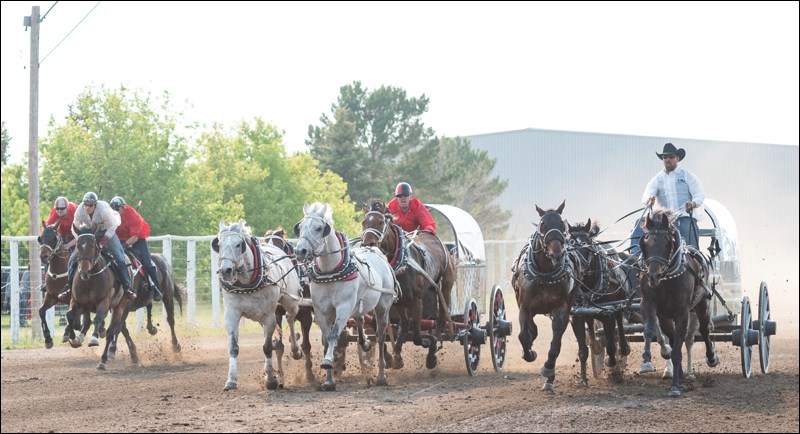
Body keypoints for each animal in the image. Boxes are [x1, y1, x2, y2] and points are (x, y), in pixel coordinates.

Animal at [211, 219, 304, 392]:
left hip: (291, 301)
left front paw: (271, 380)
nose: (226, 270)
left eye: (239, 244)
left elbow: (266, 347)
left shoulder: (269, 317)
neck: (247, 282)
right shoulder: (232, 314)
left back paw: (296, 351)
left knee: (290, 318)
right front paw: (231, 380)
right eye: (218, 245)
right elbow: (233, 347)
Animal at [292, 203, 396, 390]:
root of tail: (374, 249)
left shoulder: (343, 307)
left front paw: (327, 362)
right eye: (300, 227)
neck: (330, 272)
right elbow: (327, 341)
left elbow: (334, 335)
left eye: (319, 228)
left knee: (381, 336)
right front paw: (328, 380)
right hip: (358, 306)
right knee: (361, 321)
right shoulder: (321, 311)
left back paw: (381, 375)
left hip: (383, 307)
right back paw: (365, 343)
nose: (300, 251)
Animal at [360, 200, 454, 370]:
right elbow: (378, 329)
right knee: (404, 323)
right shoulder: (388, 301)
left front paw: (430, 344)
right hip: (401, 301)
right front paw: (390, 357)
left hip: (445, 288)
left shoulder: (416, 301)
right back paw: (398, 351)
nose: (367, 243)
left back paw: (432, 351)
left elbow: (417, 336)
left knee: (441, 318)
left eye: (380, 221)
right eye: (364, 222)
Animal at [636, 209, 720, 396]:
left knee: (704, 330)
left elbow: (677, 349)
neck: (666, 279)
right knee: (674, 337)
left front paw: (675, 386)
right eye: (645, 241)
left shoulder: (682, 312)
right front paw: (646, 360)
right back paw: (680, 373)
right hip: (667, 317)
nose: (653, 276)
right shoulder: (649, 305)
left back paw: (710, 358)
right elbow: (650, 330)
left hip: (702, 304)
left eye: (667, 241)